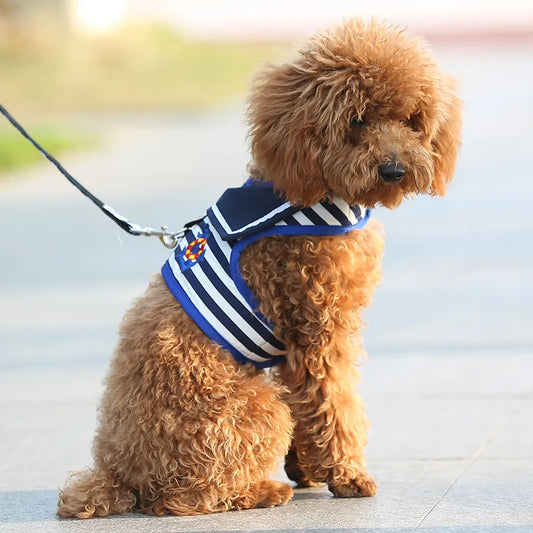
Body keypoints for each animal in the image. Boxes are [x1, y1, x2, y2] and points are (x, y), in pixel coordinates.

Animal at [57, 18, 458, 516]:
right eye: (356, 120)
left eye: (412, 120)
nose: (394, 170)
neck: (307, 193)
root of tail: (117, 475)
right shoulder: (319, 328)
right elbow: (336, 402)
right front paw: (347, 475)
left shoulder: (296, 349)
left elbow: (311, 406)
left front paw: (309, 468)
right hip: (251, 408)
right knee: (184, 497)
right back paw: (263, 491)